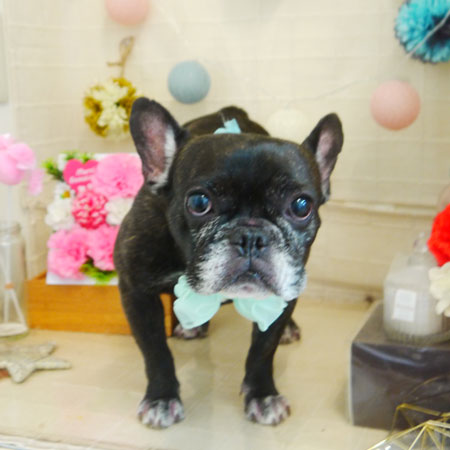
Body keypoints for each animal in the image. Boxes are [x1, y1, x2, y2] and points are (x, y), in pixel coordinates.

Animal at [114, 98, 343, 428]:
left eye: (302, 206)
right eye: (198, 202)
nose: (251, 236)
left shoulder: (282, 295)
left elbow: (263, 349)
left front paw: (263, 395)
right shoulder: (136, 293)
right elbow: (155, 351)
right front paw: (161, 397)